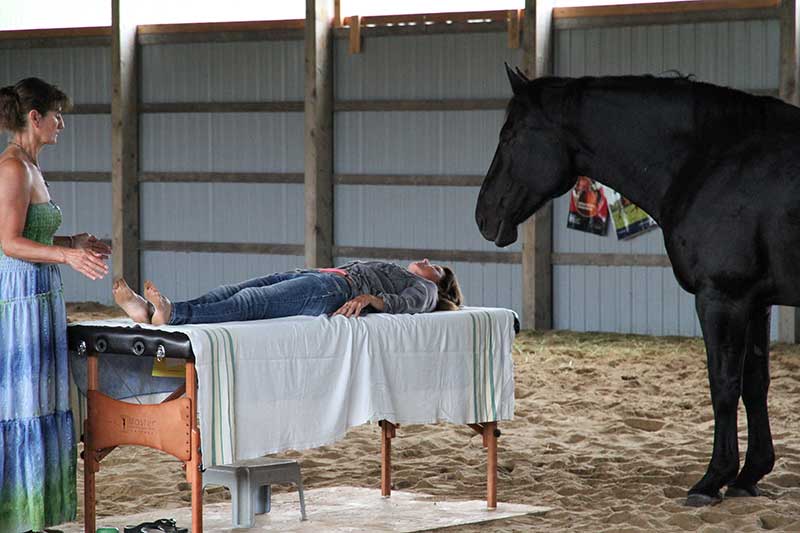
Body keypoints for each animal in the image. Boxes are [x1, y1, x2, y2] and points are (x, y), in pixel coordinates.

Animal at [476, 67, 800, 508]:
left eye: (509, 135)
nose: (483, 216)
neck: (712, 160)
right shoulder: (756, 302)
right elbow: (754, 385)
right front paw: (749, 475)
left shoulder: (722, 298)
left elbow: (723, 387)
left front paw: (711, 480)